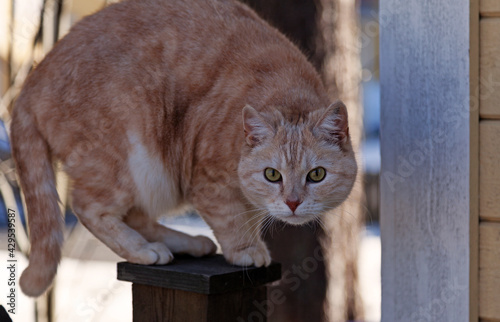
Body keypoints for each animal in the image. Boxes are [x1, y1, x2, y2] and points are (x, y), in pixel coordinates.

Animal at [9, 0, 358, 296]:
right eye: (273, 175)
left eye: (316, 175)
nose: (293, 203)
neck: (287, 93)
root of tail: (34, 76)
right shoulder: (207, 181)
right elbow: (231, 219)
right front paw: (246, 250)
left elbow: (249, 214)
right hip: (128, 162)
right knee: (89, 208)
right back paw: (144, 250)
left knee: (136, 216)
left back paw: (186, 243)